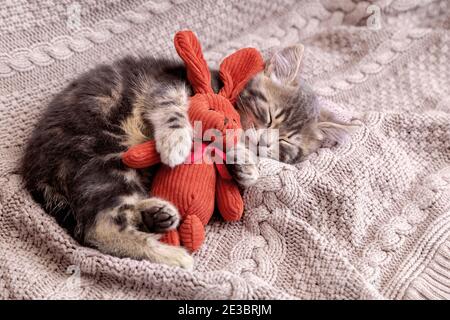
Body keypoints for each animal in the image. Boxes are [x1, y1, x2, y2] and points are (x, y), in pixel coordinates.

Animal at [21, 45, 352, 270]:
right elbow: (172, 106)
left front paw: (245, 165)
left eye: (285, 142)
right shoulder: (166, 83)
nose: (264, 141)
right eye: (270, 115)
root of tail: (35, 168)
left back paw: (156, 214)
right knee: (98, 227)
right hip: (104, 151)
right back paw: (173, 255)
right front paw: (176, 140)